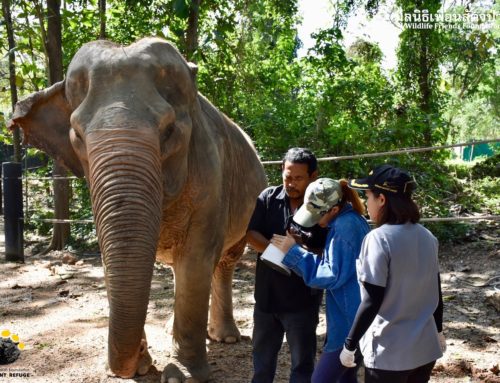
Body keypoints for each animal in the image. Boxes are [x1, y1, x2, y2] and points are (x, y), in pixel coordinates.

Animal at [7, 36, 268, 383]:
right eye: (77, 135)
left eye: (169, 130)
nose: (140, 357)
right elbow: (113, 258)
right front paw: (143, 366)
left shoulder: (211, 174)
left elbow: (196, 260)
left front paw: (183, 375)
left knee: (225, 261)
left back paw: (225, 337)